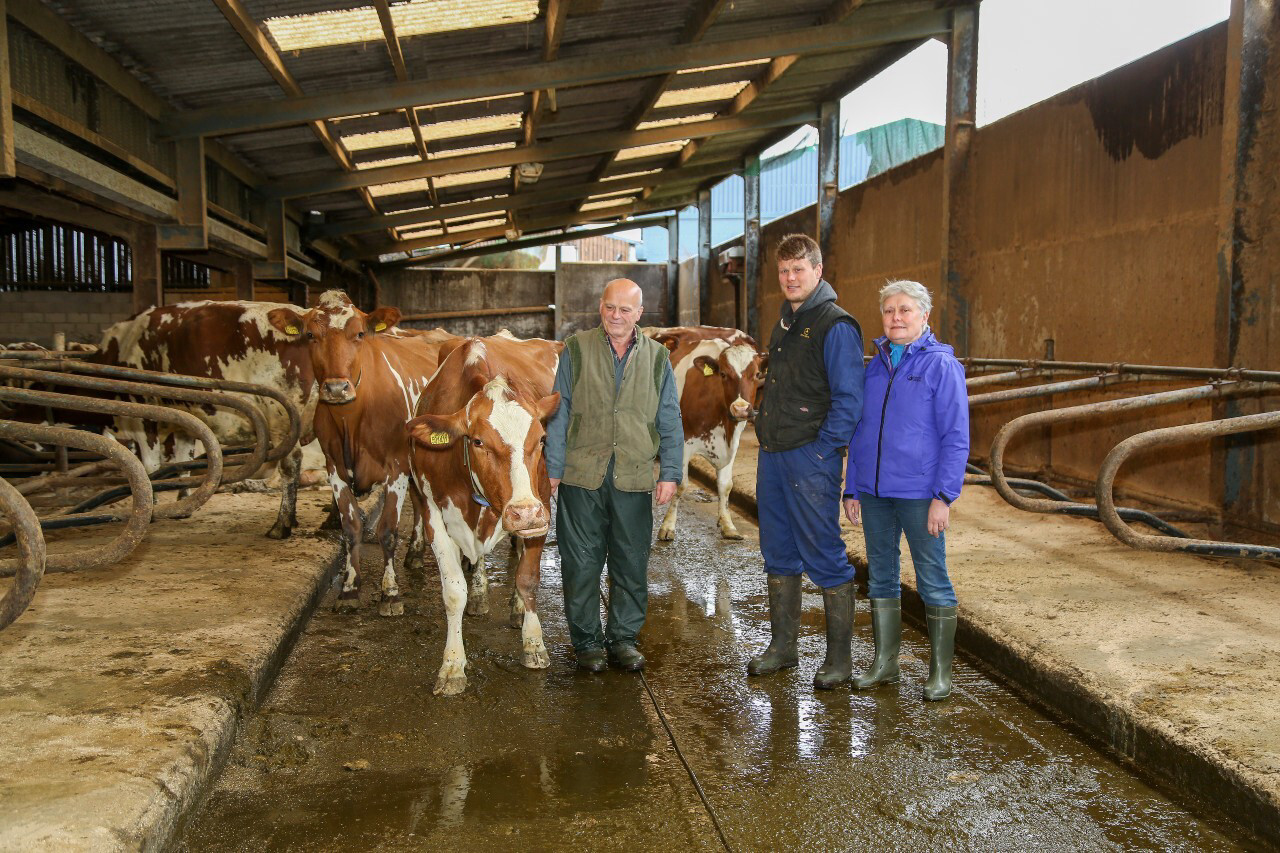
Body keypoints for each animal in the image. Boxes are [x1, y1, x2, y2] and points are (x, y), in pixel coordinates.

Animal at [262, 292, 453, 612]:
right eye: (310, 335)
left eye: (360, 334)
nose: (337, 388)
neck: (351, 419)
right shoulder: (334, 468)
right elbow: (351, 528)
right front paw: (350, 589)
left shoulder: (396, 467)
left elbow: (387, 531)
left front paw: (390, 593)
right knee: (418, 502)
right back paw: (414, 554)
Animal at [401, 333, 558, 691]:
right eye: (477, 441)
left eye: (542, 439)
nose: (525, 512)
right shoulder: (433, 515)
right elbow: (452, 592)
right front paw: (452, 665)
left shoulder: (542, 505)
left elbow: (528, 579)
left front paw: (534, 644)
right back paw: (479, 594)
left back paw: (515, 609)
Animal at [655, 326, 762, 537]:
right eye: (724, 374)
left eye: (756, 374)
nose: (740, 409)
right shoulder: (683, 442)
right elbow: (681, 485)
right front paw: (667, 525)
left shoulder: (733, 443)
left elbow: (726, 485)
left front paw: (727, 524)